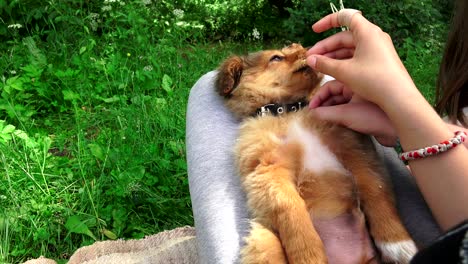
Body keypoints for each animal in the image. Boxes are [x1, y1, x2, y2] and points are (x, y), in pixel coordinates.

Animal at [216, 42, 416, 262]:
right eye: (276, 58)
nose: (304, 47)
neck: (289, 110)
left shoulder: (355, 149)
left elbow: (374, 189)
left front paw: (398, 243)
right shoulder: (269, 172)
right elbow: (292, 211)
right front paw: (309, 257)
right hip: (262, 239)